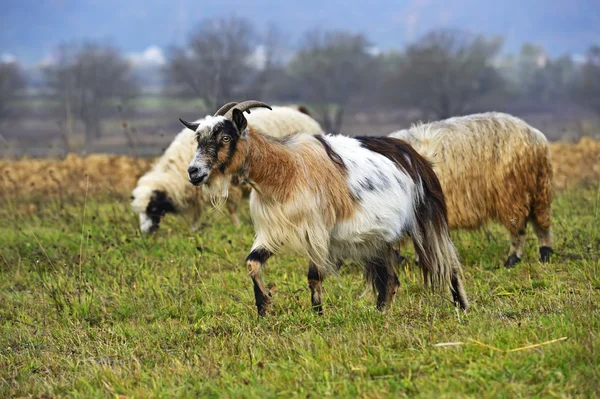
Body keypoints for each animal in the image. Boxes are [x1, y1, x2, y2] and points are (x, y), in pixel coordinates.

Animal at [183, 101, 468, 318]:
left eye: (226, 137)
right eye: (199, 139)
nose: (193, 172)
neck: (285, 171)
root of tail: (417, 157)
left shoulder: (316, 230)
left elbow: (314, 276)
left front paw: (318, 315)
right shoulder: (272, 230)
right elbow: (252, 263)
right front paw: (263, 307)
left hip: (426, 218)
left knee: (448, 263)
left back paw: (462, 307)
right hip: (378, 238)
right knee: (390, 281)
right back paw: (380, 313)